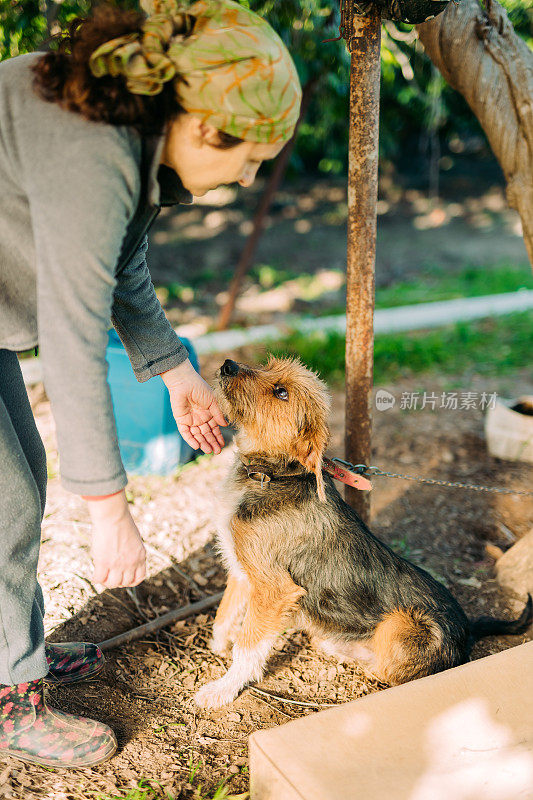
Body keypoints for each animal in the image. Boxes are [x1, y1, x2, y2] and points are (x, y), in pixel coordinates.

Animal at [193, 356, 528, 708]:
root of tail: (469, 630)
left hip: (400, 623)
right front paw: (216, 647)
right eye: (269, 365)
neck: (273, 476)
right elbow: (225, 613)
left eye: (281, 392)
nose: (228, 365)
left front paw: (222, 688)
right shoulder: (243, 570)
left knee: (397, 674)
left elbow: (248, 645)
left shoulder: (275, 589)